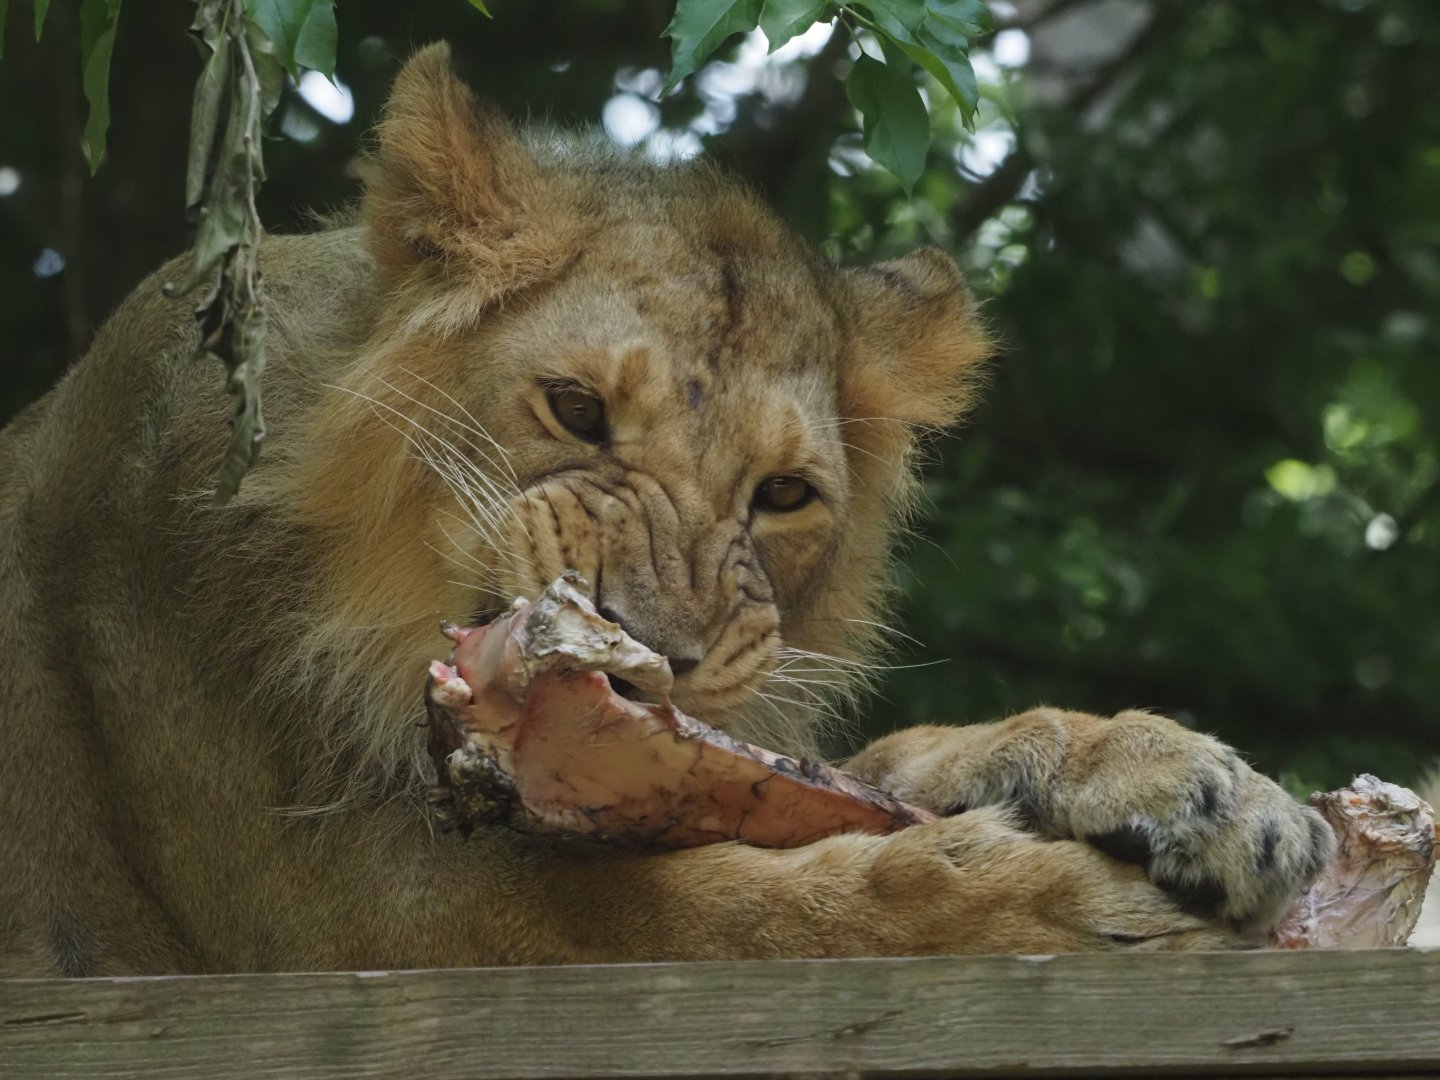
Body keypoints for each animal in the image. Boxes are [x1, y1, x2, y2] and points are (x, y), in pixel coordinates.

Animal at [0, 44, 1333, 976]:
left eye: (784, 494)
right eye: (577, 409)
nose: (656, 656)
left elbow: (863, 767)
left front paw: (1191, 785)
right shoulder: (348, 916)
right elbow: (739, 907)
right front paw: (1045, 902)